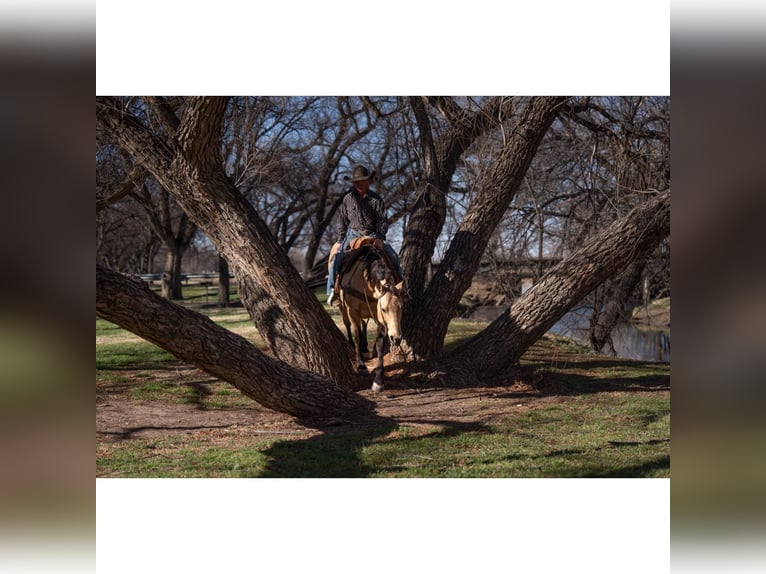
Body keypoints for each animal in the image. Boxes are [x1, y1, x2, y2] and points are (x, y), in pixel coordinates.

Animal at [336, 243, 408, 396]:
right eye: (384, 309)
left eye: (401, 308)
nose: (397, 338)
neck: (365, 281)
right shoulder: (353, 311)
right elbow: (357, 335)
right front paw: (361, 365)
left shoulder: (378, 316)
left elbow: (380, 344)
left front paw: (378, 381)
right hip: (343, 309)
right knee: (348, 326)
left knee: (364, 324)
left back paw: (364, 345)